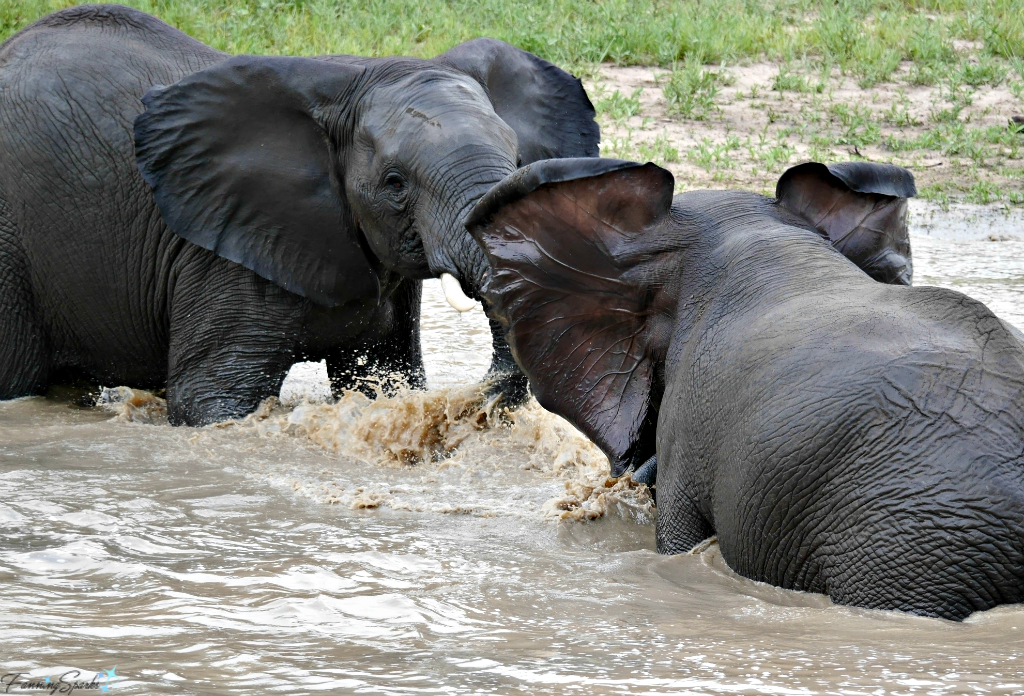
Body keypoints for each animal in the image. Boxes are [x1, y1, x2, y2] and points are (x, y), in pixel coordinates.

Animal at [0, 4, 598, 423]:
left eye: (517, 162)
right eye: (395, 184)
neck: (352, 79)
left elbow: (382, 378)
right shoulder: (228, 248)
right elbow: (210, 400)